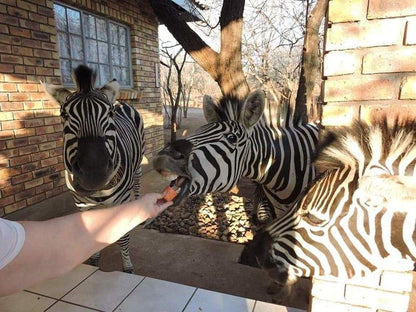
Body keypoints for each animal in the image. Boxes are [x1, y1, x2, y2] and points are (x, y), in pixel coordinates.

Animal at [43, 64, 145, 272]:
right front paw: (94, 262)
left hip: (138, 164)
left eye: (110, 114)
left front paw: (127, 267)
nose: (94, 174)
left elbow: (123, 238)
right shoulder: (82, 205)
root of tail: (120, 101)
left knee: (137, 184)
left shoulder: (120, 202)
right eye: (64, 115)